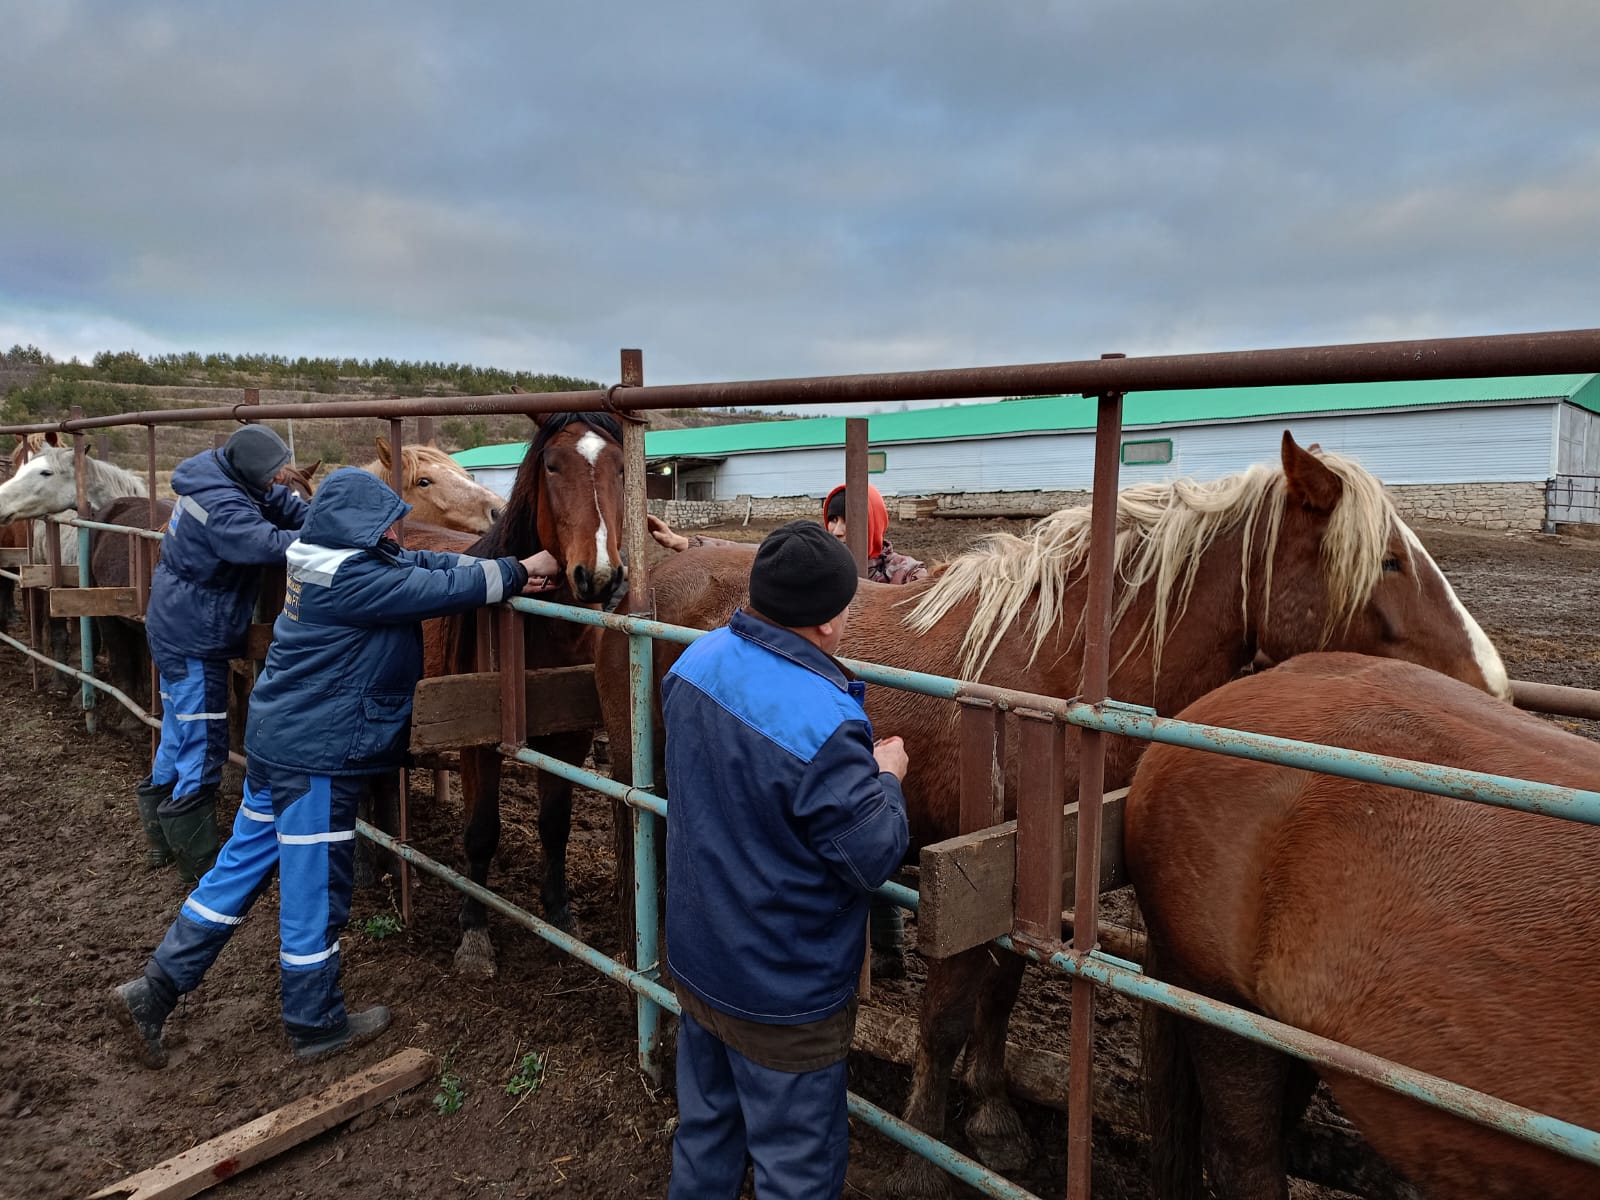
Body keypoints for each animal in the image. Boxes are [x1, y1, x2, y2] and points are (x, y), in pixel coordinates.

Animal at [400, 412, 624, 979]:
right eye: (552, 466)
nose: (600, 576)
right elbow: (481, 830)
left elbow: (555, 824)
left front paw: (560, 914)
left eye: (620, 467)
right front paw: (474, 933)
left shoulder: (568, 737)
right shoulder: (478, 742)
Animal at [598, 432, 1510, 1200]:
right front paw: (923, 1148)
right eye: (1388, 561)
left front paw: (995, 1119)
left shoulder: (1027, 876)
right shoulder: (960, 869)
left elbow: (999, 998)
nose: (1491, 687)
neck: (1048, 675)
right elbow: (947, 1012)